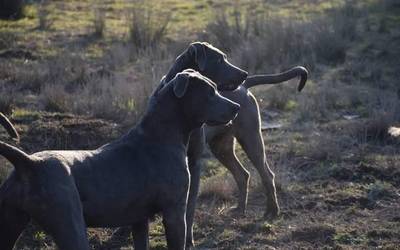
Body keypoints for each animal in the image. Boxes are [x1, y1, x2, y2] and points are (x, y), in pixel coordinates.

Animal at [0, 70, 241, 250]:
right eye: (210, 92)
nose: (236, 107)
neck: (162, 135)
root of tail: (27, 163)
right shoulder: (174, 212)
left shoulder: (139, 220)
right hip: (69, 225)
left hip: (11, 222)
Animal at [159, 42, 306, 247]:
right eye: (220, 60)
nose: (244, 73)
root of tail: (244, 87)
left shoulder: (194, 164)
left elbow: (189, 207)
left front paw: (188, 240)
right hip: (222, 147)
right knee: (243, 174)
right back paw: (240, 209)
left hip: (251, 139)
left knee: (267, 174)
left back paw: (272, 211)